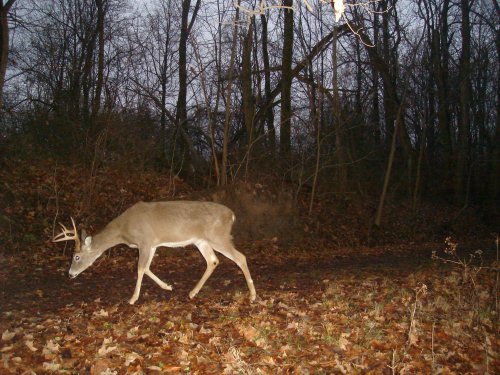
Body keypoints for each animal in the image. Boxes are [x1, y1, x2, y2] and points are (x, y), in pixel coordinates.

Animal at [52, 201, 256, 304]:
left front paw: (133, 298)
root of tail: (231, 215)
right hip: (202, 240)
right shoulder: (152, 244)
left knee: (240, 257)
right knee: (213, 261)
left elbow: (140, 268)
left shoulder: (145, 241)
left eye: (76, 256)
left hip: (218, 236)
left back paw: (253, 295)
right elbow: (147, 267)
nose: (70, 274)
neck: (124, 230)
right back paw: (192, 293)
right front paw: (168, 286)